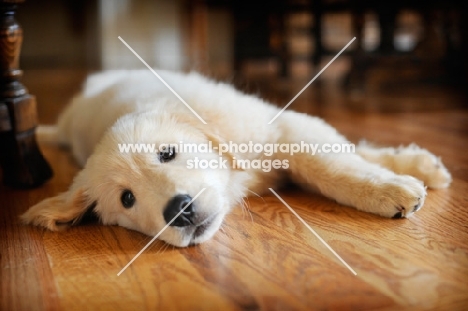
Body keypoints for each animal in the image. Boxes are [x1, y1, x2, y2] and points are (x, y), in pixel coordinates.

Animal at [21, 69, 450, 247]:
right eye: (127, 199)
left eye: (167, 153)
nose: (180, 211)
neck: (236, 181)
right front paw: (398, 178)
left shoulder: (280, 127)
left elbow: (333, 163)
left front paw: (395, 181)